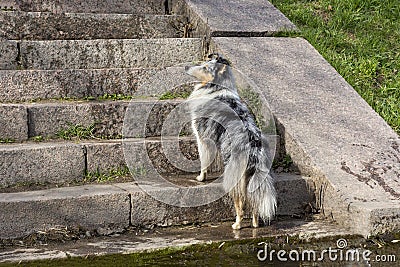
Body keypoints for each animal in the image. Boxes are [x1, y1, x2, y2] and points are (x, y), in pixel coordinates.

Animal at [186, 54, 276, 230]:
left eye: (205, 68)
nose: (186, 67)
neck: (217, 88)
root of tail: (254, 151)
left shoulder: (202, 138)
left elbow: (204, 161)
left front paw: (200, 178)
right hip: (253, 178)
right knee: (254, 204)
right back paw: (255, 224)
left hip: (235, 178)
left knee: (240, 204)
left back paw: (237, 225)